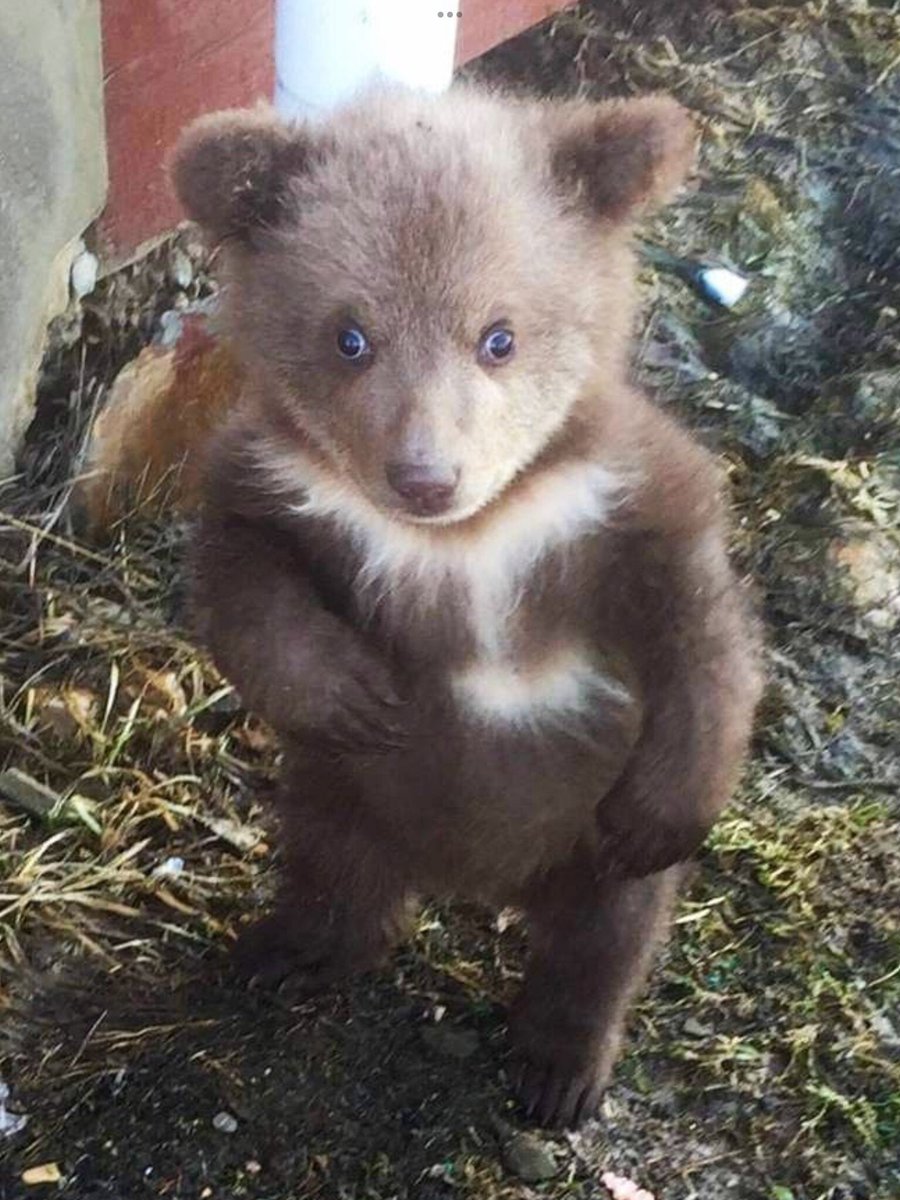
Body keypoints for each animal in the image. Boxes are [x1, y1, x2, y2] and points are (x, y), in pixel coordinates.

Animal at [171, 83, 764, 1130]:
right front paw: (353, 691)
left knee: (604, 939)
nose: (425, 476)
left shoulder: (623, 500)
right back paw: (287, 952)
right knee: (334, 873)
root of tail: (478, 882)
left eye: (500, 336)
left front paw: (664, 809)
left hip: (577, 849)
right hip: (347, 800)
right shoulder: (279, 486)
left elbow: (701, 634)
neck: (467, 538)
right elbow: (244, 583)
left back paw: (558, 1069)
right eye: (350, 335)